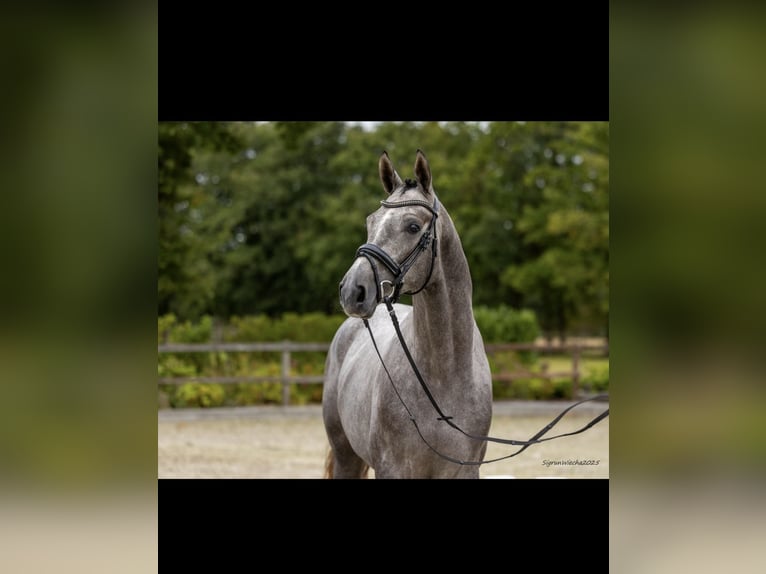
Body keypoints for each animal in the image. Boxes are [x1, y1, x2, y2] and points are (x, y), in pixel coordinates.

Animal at [322, 150, 493, 478]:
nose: (352, 290)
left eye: (413, 226)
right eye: (371, 221)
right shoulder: (392, 468)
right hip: (345, 455)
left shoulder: (466, 470)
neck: (444, 375)